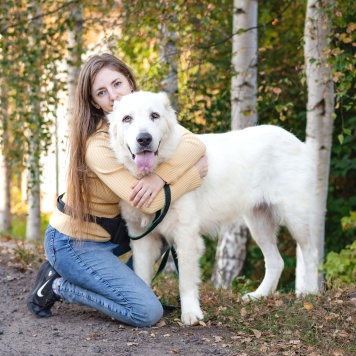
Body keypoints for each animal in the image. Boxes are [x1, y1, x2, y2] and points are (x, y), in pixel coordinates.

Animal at [108, 90, 318, 324]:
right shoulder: (142, 237)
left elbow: (186, 281)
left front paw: (191, 313)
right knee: (276, 262)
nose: (144, 139)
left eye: (155, 115)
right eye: (127, 119)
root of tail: (298, 142)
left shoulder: (186, 235)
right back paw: (258, 296)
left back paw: (309, 294)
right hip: (259, 222)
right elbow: (141, 275)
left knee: (311, 253)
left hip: (296, 215)